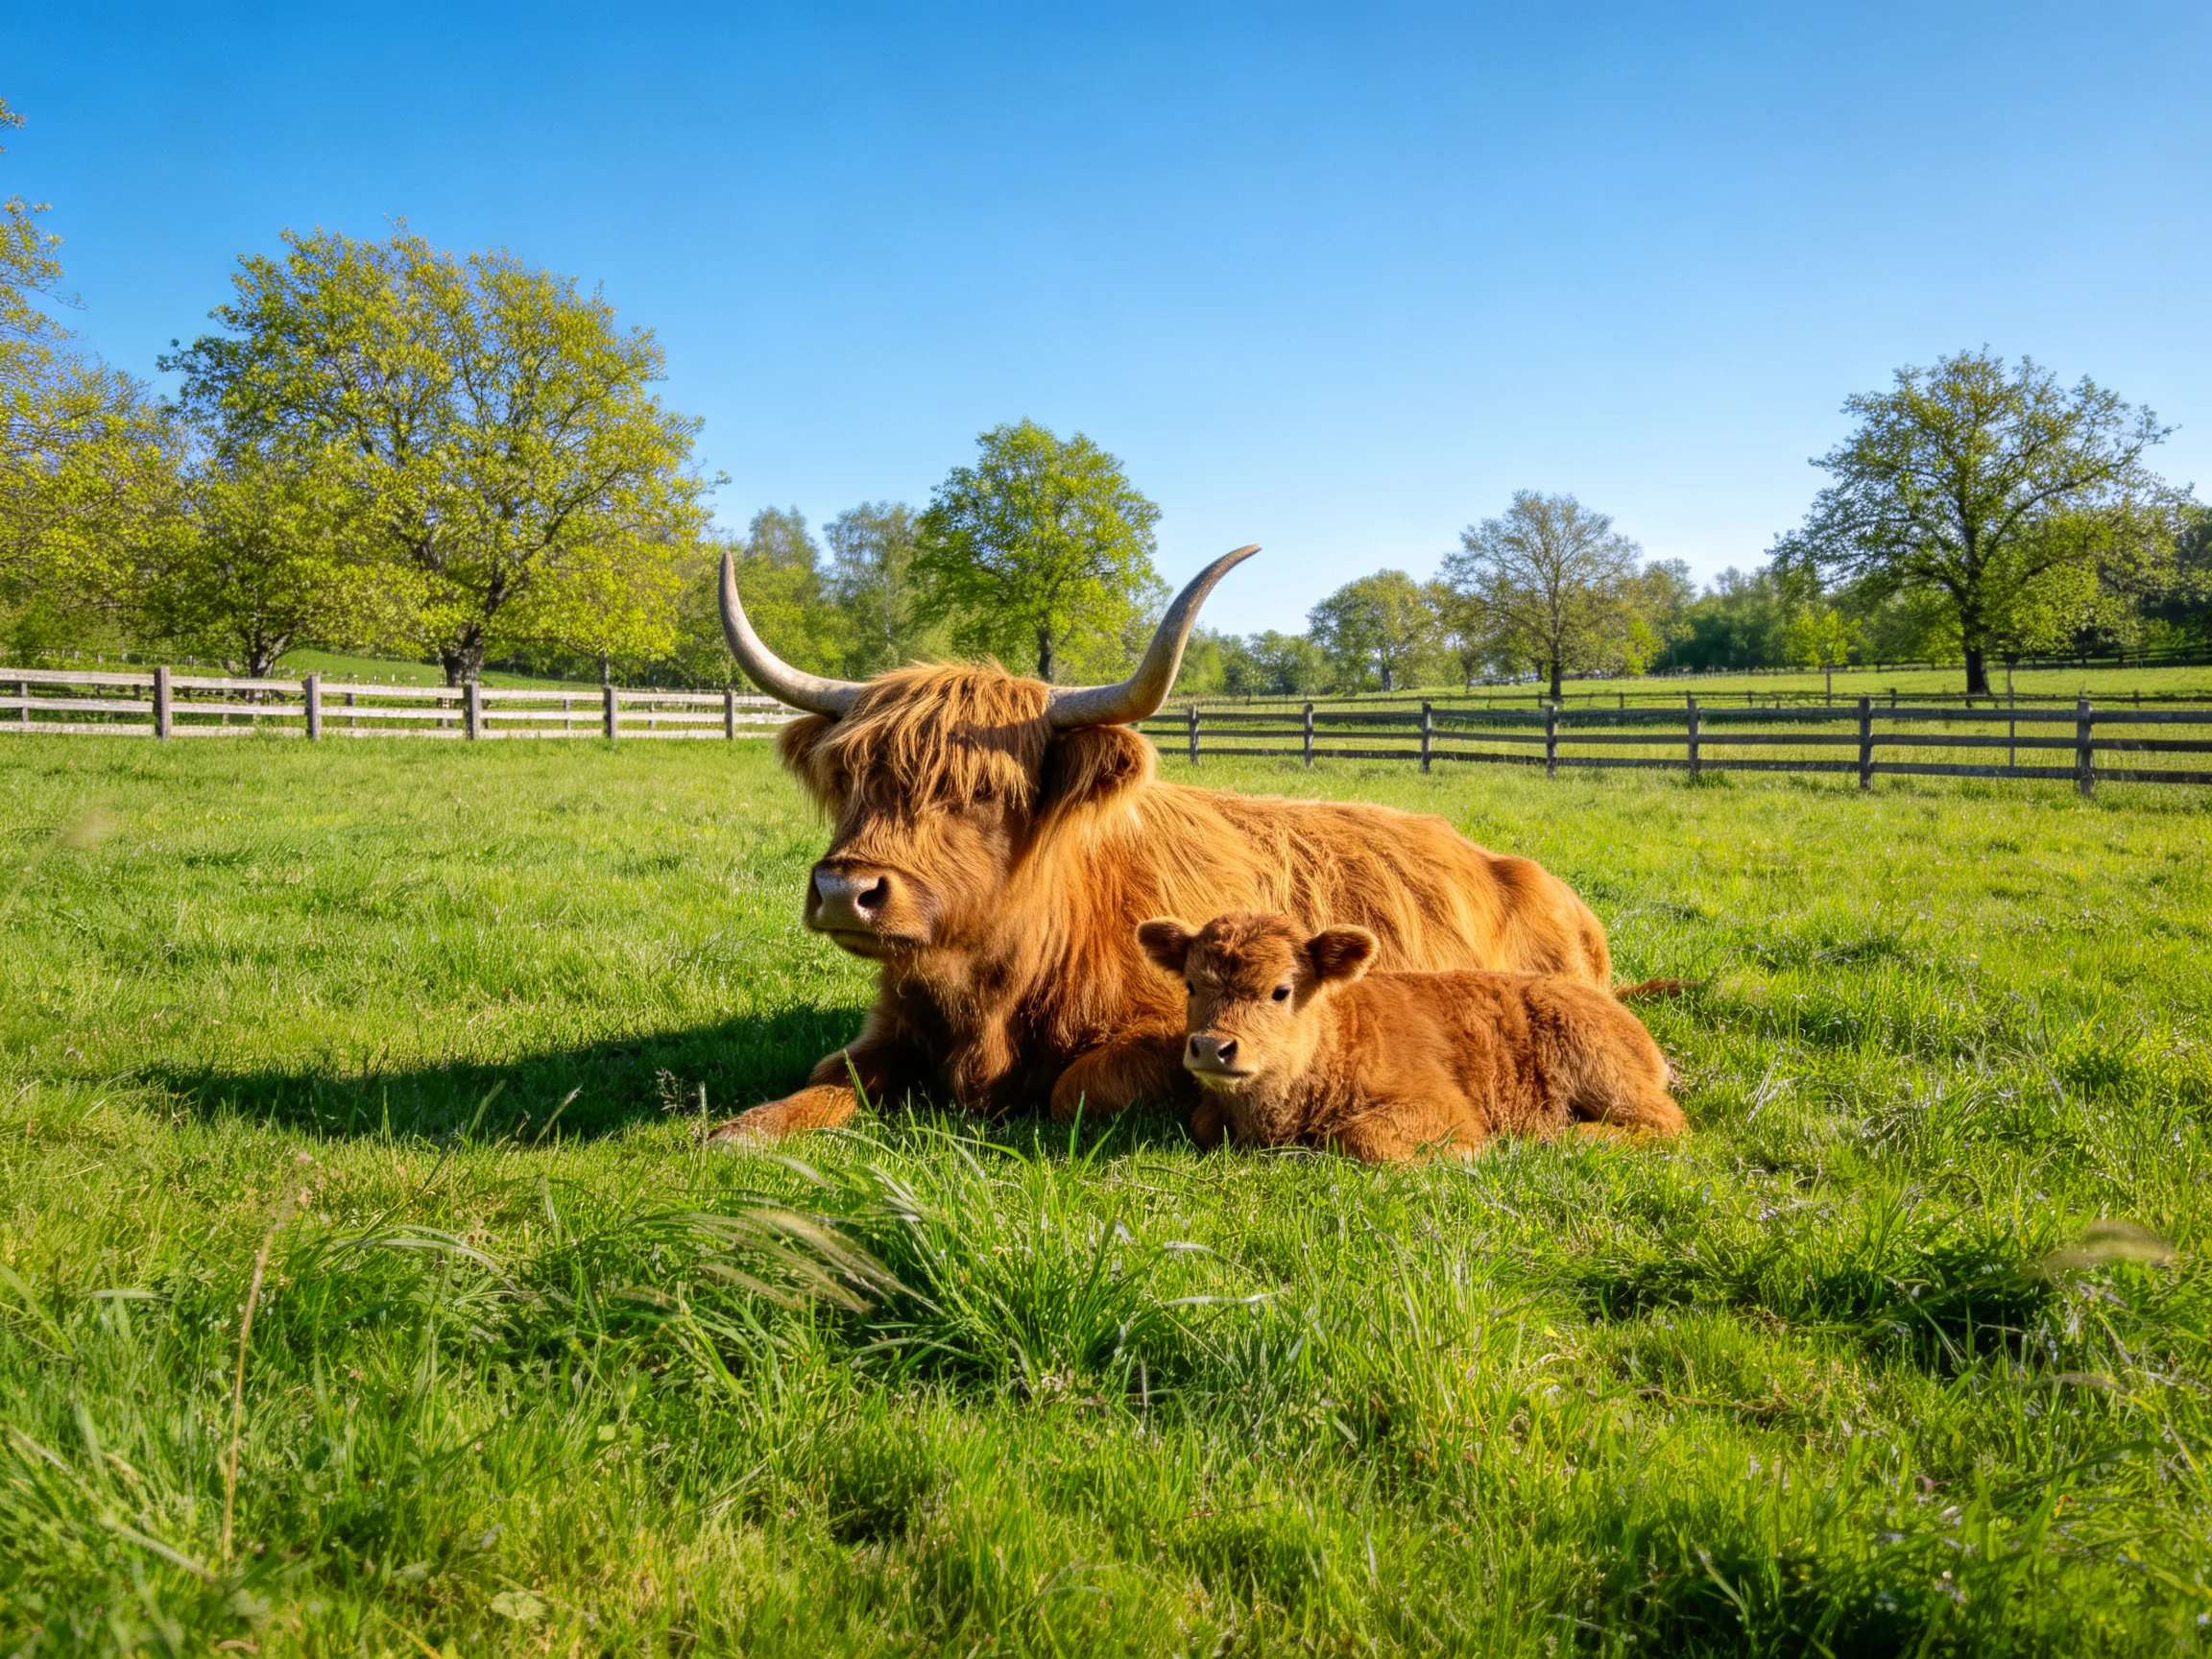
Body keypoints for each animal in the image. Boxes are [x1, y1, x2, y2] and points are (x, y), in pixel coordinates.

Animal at [706, 545, 1616, 1143]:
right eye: (850, 775)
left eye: (987, 790)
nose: (844, 891)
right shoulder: (893, 1027)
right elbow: (831, 1075)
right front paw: (741, 1130)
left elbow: (1076, 1088)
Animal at [1135, 910, 1685, 1162]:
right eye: (1191, 984)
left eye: (1280, 991)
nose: (1212, 1047)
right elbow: (1203, 1122)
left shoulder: (1441, 1107)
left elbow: (1361, 1137)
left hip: (1607, 1076)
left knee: (1667, 1123)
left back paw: (1565, 1136)